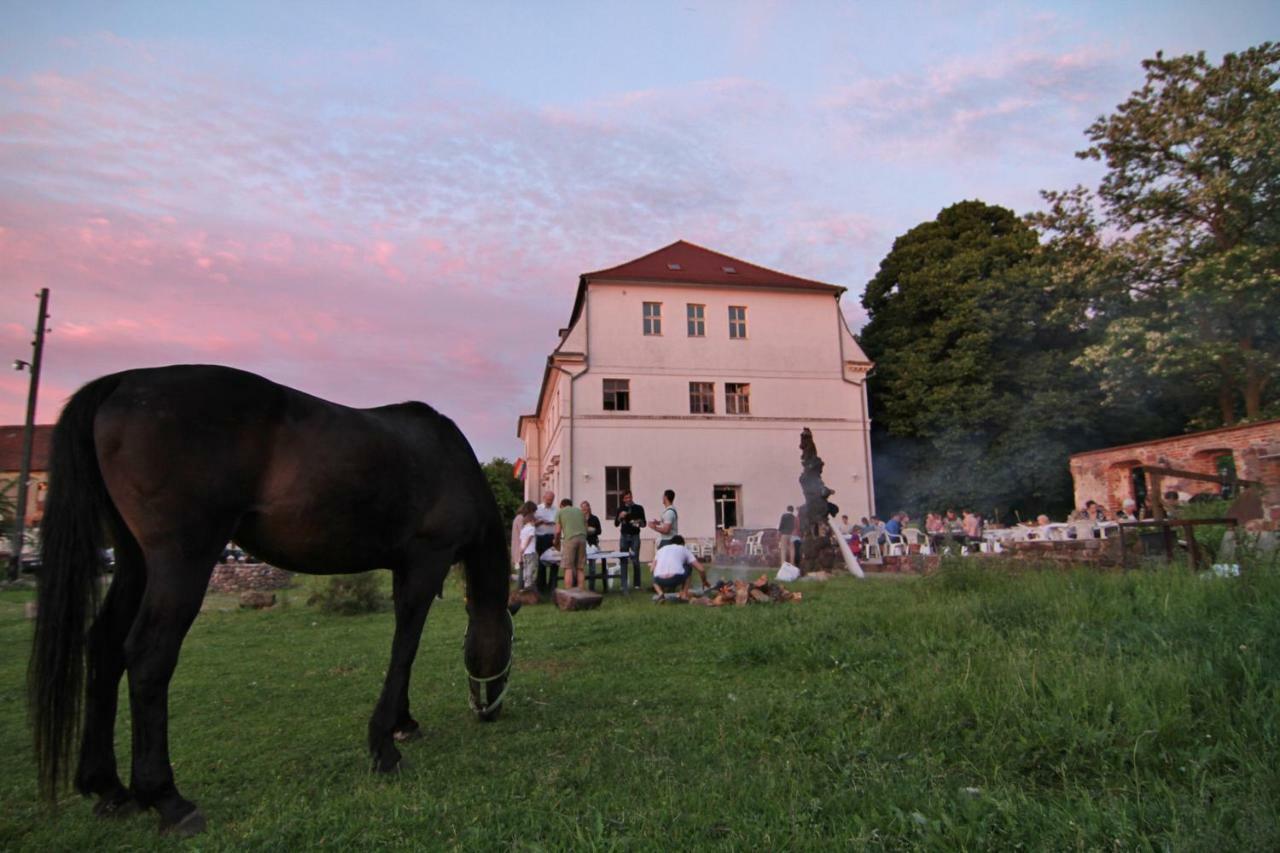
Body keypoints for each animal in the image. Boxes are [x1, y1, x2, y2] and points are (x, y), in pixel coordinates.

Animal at [30, 363, 509, 829]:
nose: (491, 711)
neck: (449, 458)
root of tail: (123, 382)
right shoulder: (427, 562)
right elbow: (406, 647)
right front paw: (384, 747)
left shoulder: (404, 567)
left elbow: (402, 645)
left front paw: (402, 723)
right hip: (181, 562)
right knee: (149, 655)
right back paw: (168, 799)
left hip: (135, 563)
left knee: (105, 646)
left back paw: (108, 787)